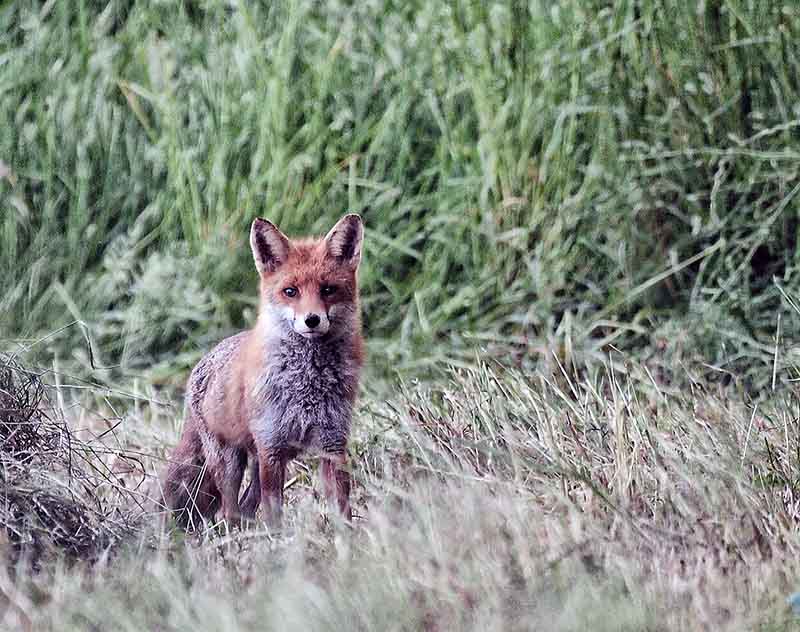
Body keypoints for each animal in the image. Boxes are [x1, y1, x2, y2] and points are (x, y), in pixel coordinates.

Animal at [166, 215, 366, 524]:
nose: (312, 320)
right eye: (290, 292)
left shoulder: (333, 444)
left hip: (256, 464)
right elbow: (274, 518)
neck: (307, 383)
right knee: (229, 511)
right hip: (230, 462)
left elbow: (343, 509)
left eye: (328, 289)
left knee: (247, 507)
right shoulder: (271, 447)